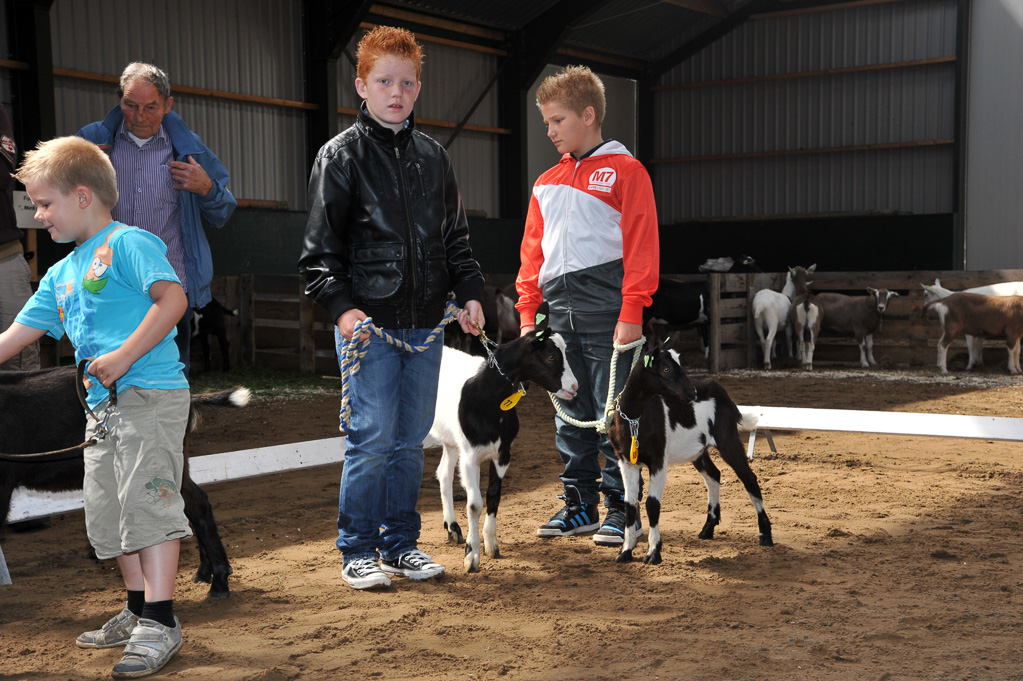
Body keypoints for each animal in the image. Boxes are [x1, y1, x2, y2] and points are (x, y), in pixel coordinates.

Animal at [429, 327, 576, 568]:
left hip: (451, 439)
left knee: (443, 474)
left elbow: (493, 496)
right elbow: (474, 504)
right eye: (551, 356)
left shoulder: (502, 453)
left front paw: (491, 545)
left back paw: (452, 528)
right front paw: (471, 555)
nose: (574, 388)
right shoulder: (470, 456)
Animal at [605, 337, 773, 564]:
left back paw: (765, 535)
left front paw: (653, 553)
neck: (634, 419)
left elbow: (652, 504)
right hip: (698, 450)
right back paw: (708, 528)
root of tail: (723, 393)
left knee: (749, 478)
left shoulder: (658, 460)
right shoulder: (625, 461)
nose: (692, 393)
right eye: (666, 368)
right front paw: (625, 552)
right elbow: (630, 505)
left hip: (727, 438)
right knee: (714, 475)